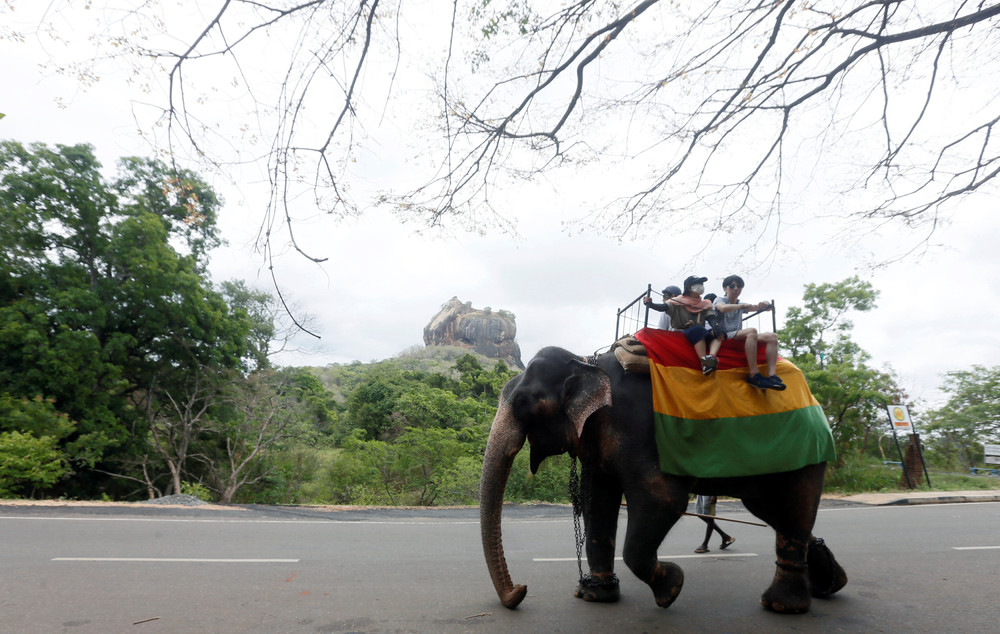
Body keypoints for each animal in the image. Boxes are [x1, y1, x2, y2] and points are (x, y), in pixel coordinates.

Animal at [480, 344, 848, 608]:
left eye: (524, 402)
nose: (521, 589)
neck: (586, 361)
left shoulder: (634, 427)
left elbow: (663, 499)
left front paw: (671, 586)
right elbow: (596, 500)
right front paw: (595, 596)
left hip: (805, 446)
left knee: (792, 507)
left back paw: (781, 605)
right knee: (773, 510)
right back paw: (829, 582)